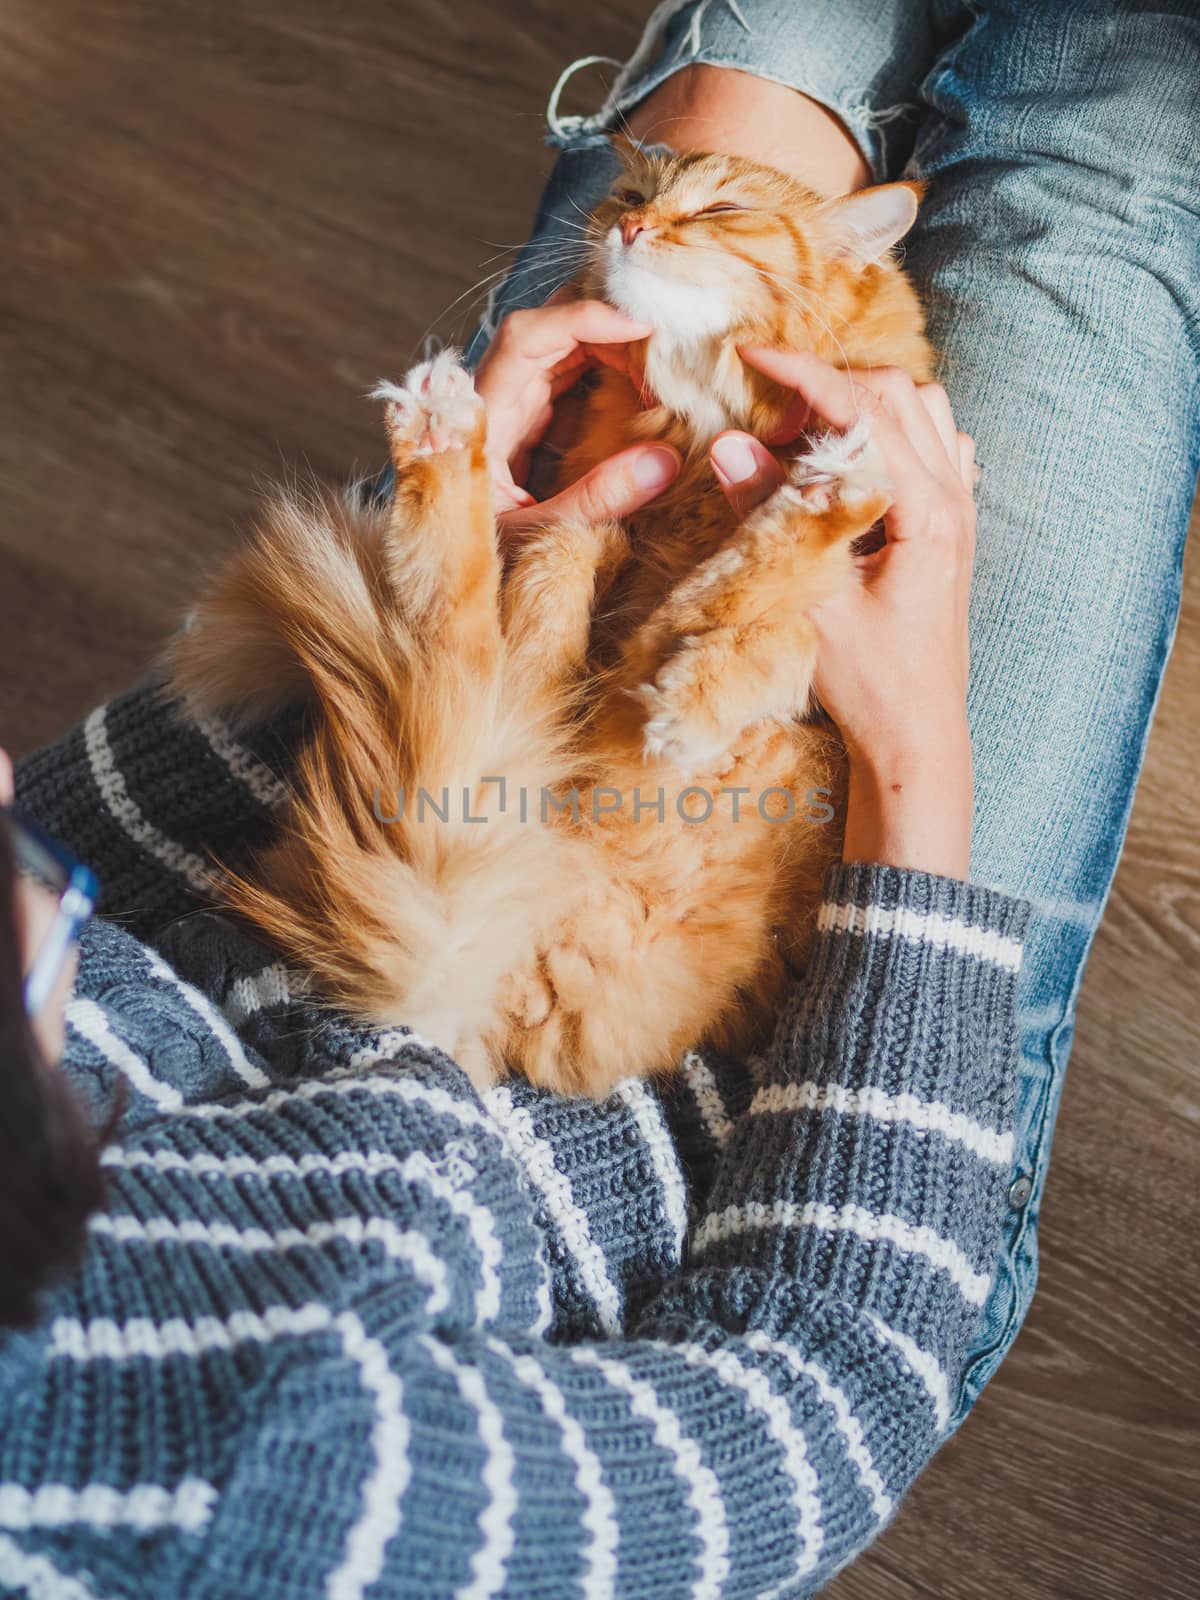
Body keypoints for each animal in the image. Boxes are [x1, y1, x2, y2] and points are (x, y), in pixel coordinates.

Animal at [171, 144, 940, 1100]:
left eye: (721, 210)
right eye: (635, 194)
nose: (634, 227)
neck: (702, 423)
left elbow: (773, 625)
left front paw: (706, 691)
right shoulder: (590, 526)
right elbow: (585, 567)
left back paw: (827, 495)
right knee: (467, 642)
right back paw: (445, 433)